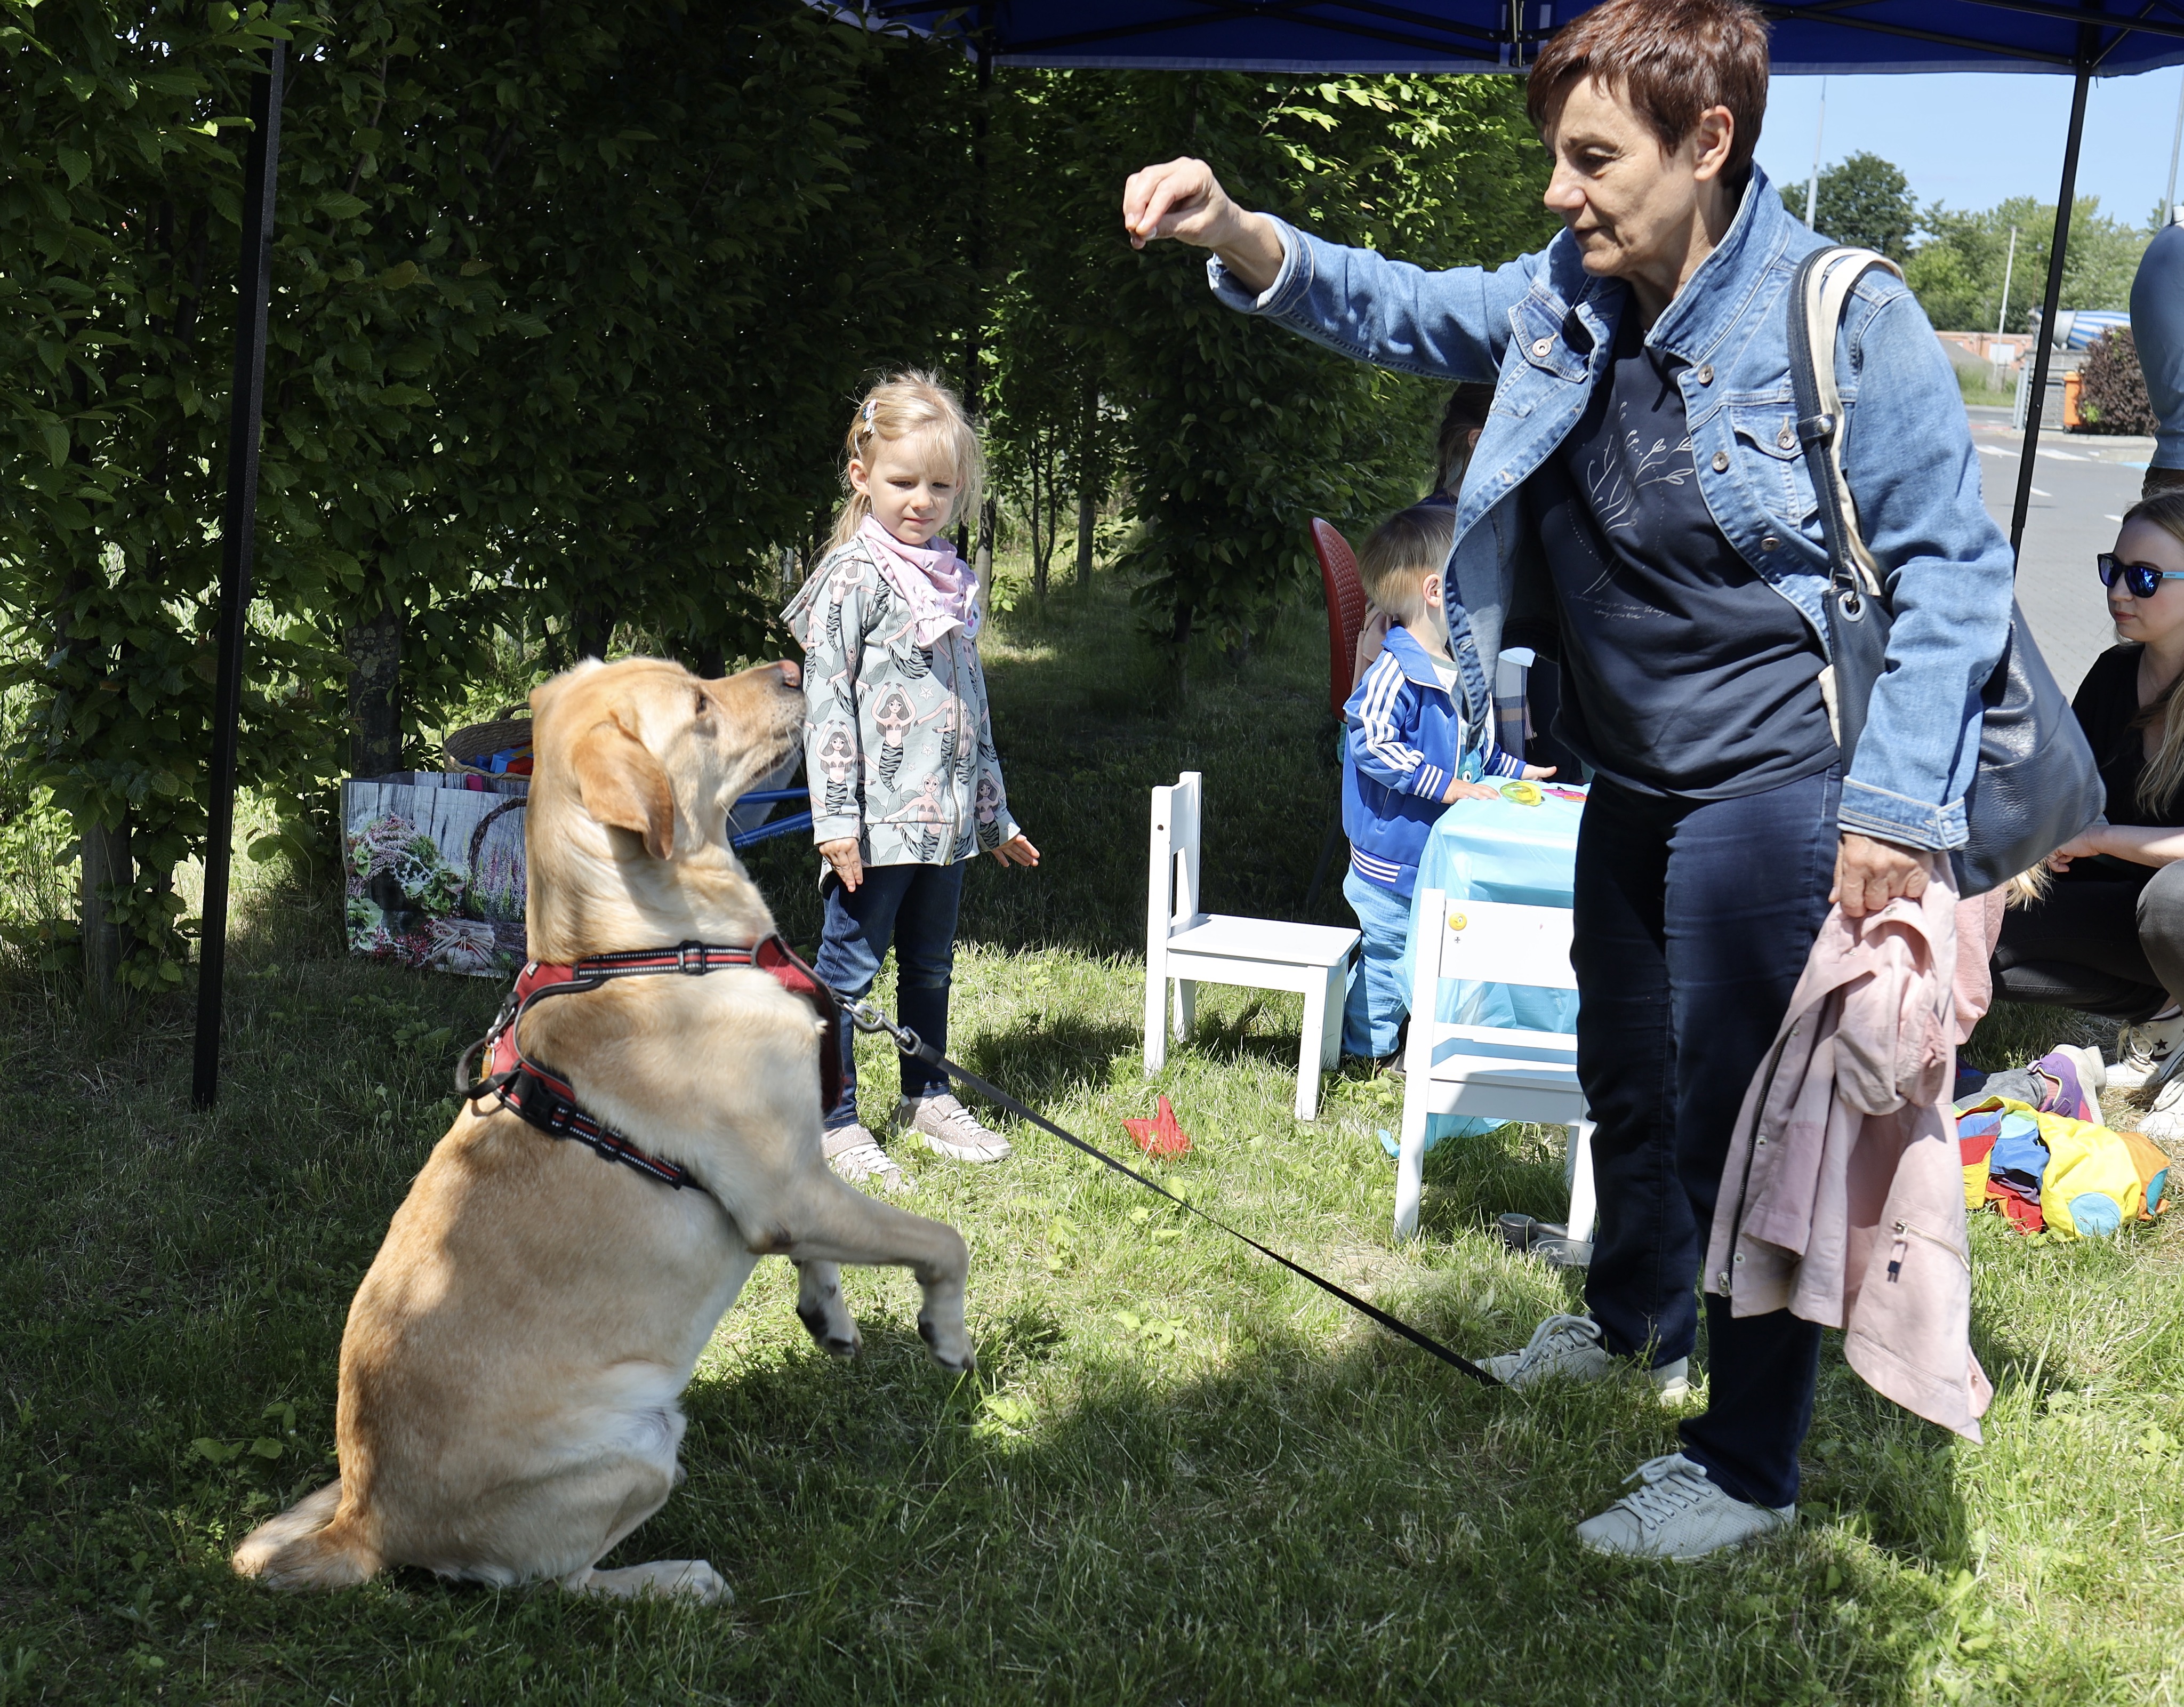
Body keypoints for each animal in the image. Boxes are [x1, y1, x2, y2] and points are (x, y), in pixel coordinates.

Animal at [233, 656, 975, 1603]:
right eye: (698, 704)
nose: (792, 666)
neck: (652, 950)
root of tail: (365, 1523)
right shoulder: (792, 1190)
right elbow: (944, 1240)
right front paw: (947, 1333)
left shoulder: (796, 1181)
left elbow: (822, 1253)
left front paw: (829, 1311)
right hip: (644, 1446)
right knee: (560, 1583)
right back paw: (676, 1580)